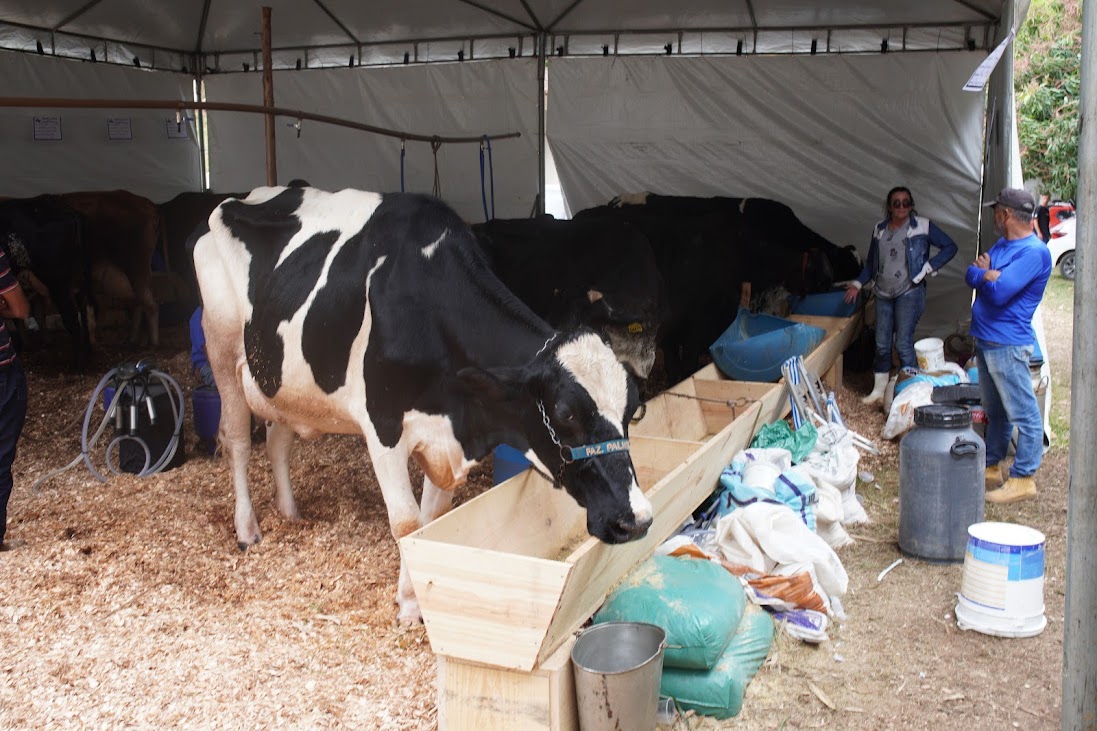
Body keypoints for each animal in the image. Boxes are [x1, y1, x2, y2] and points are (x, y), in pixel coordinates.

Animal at [0, 195, 93, 368]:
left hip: (59, 286)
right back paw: (89, 352)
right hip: (80, 279)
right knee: (84, 314)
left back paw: (77, 364)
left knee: (71, 320)